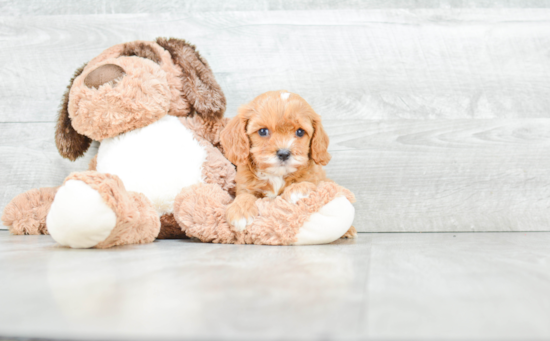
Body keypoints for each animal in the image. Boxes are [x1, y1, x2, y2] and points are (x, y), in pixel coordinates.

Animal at [220, 91, 358, 239]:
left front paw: (297, 190)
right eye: (263, 131)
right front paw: (240, 211)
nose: (284, 153)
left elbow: (308, 183)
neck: (277, 174)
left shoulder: (315, 178)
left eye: (300, 132)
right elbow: (244, 196)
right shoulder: (245, 185)